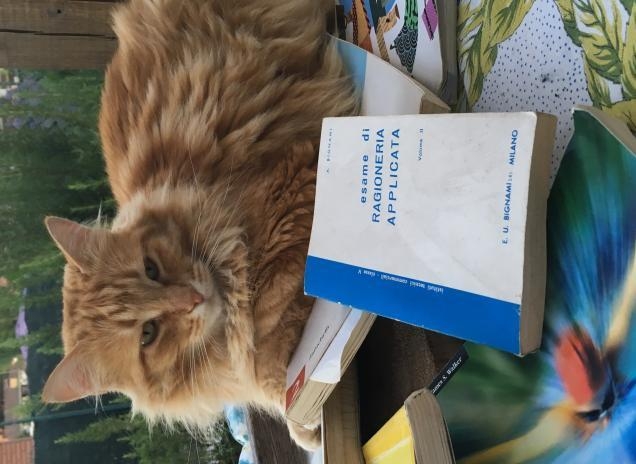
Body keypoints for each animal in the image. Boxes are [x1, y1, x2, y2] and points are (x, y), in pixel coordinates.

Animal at [41, 0, 357, 450]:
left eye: (151, 268)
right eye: (148, 334)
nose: (191, 299)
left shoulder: (293, 192)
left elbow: (271, 324)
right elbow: (271, 376)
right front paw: (304, 423)